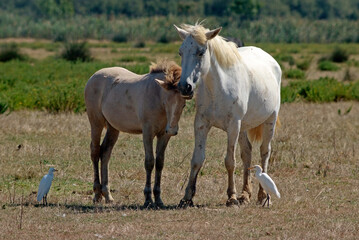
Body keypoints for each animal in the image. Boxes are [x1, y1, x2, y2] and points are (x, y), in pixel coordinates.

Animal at [176, 23, 282, 206]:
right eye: (181, 52)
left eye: (201, 52)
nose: (185, 87)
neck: (218, 88)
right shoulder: (201, 124)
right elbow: (197, 159)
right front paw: (187, 197)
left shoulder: (233, 126)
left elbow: (230, 161)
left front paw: (231, 196)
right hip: (244, 126)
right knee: (247, 153)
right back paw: (245, 194)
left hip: (270, 121)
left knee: (264, 152)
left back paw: (263, 196)